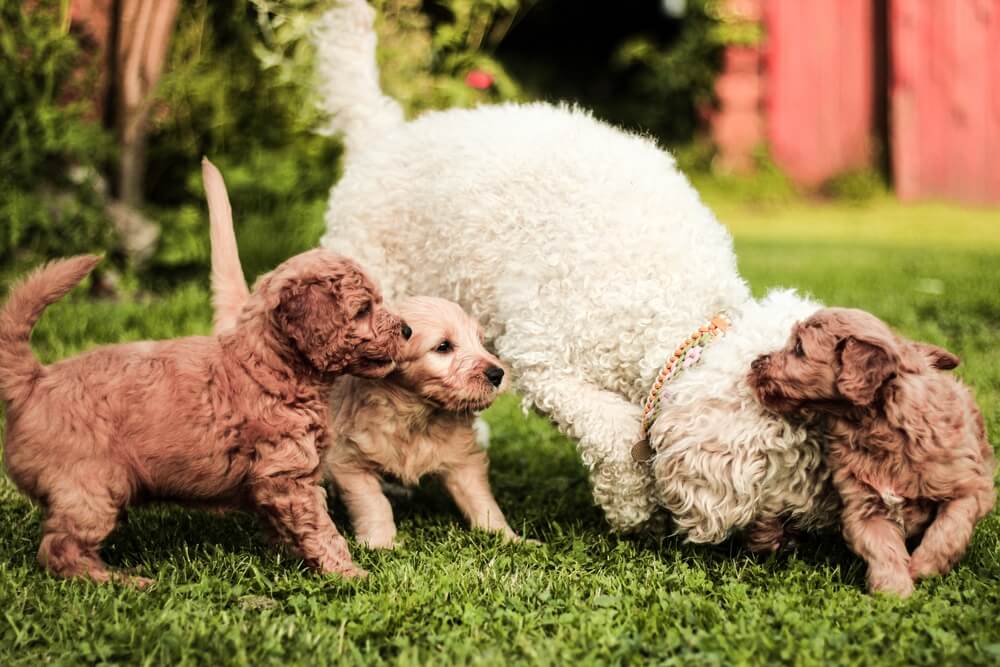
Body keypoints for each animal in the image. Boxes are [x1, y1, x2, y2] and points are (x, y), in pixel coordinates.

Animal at [0, 250, 406, 584]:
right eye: (363, 310)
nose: (407, 329)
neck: (270, 364)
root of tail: (36, 380)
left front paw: (291, 556)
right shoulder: (287, 475)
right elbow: (321, 529)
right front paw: (349, 573)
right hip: (92, 487)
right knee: (60, 549)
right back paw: (118, 581)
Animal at [310, 0, 836, 548]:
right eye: (787, 491)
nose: (795, 542)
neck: (663, 300)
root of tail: (384, 134)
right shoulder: (547, 361)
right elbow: (618, 433)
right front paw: (634, 511)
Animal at [752, 306, 992, 596]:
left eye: (799, 348)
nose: (755, 363)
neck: (877, 427)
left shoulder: (970, 486)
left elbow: (949, 530)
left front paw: (923, 568)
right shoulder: (864, 508)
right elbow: (883, 550)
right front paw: (894, 594)